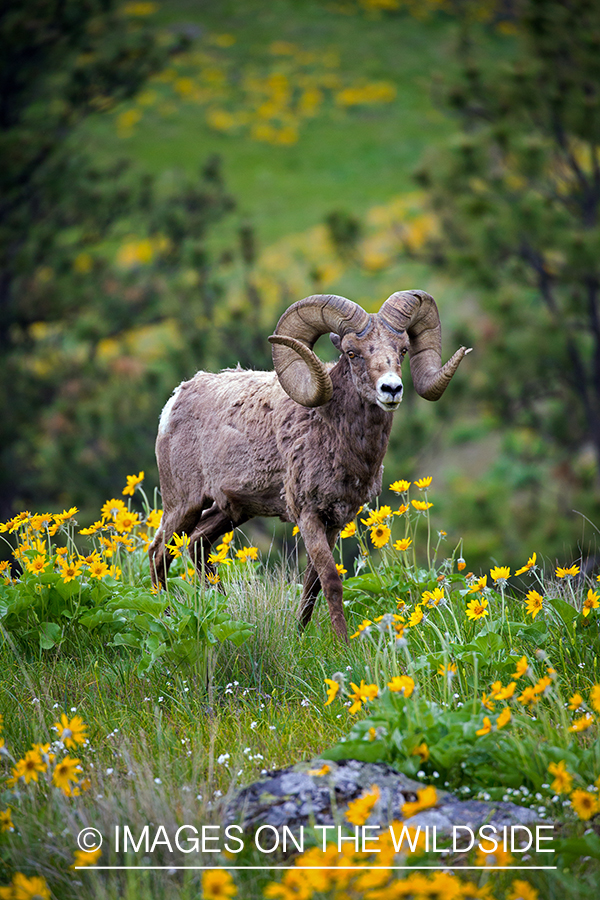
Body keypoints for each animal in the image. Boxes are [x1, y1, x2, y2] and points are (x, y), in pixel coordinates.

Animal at [149, 290, 470, 642]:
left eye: (402, 350)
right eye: (352, 353)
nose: (391, 389)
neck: (333, 433)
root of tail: (174, 402)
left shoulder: (336, 521)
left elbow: (312, 585)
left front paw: (300, 636)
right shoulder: (308, 516)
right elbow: (330, 581)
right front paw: (343, 644)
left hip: (230, 511)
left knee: (197, 545)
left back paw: (223, 613)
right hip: (184, 505)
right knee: (159, 552)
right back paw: (165, 618)